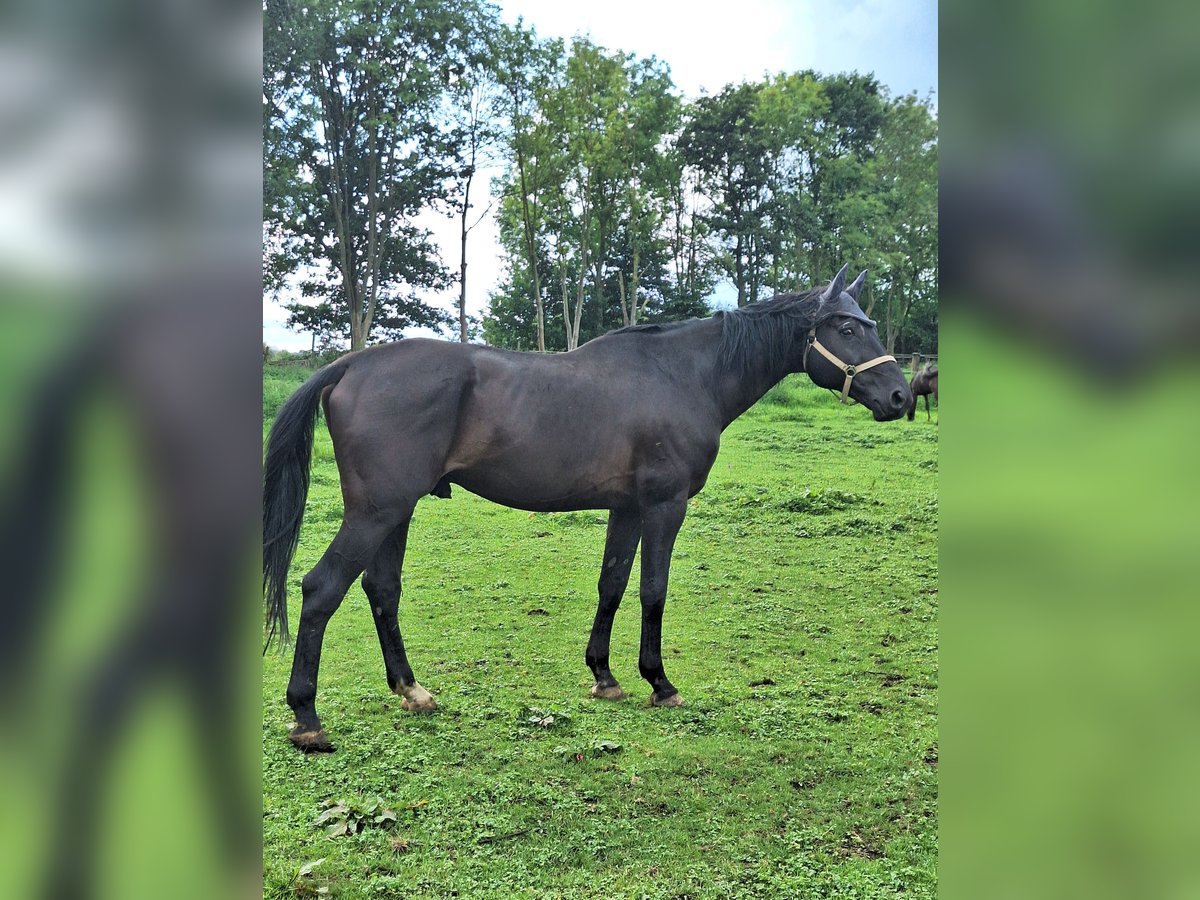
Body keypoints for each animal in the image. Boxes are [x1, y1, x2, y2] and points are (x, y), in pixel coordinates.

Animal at [265, 266, 907, 753]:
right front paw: (659, 681)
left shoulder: (628, 510)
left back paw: (411, 690)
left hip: (395, 514)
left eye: (870, 324)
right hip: (375, 512)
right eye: (847, 327)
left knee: (382, 590)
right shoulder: (664, 506)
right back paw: (307, 718)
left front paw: (604, 674)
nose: (900, 396)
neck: (684, 375)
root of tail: (351, 365)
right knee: (321, 588)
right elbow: (653, 589)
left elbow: (613, 584)